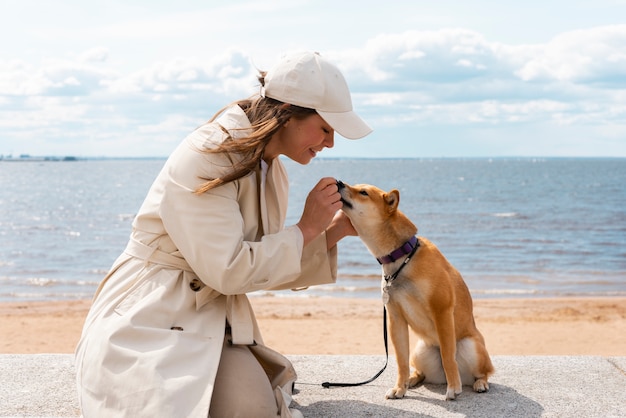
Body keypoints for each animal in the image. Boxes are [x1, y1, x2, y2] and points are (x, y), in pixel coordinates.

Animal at [336, 181, 492, 400]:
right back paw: (412, 380)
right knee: (420, 372)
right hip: (420, 351)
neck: (402, 257)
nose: (338, 182)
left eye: (363, 192)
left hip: (470, 347)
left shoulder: (442, 311)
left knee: (484, 371)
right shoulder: (396, 318)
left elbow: (447, 355)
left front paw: (454, 388)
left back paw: (479, 383)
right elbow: (401, 361)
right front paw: (399, 387)